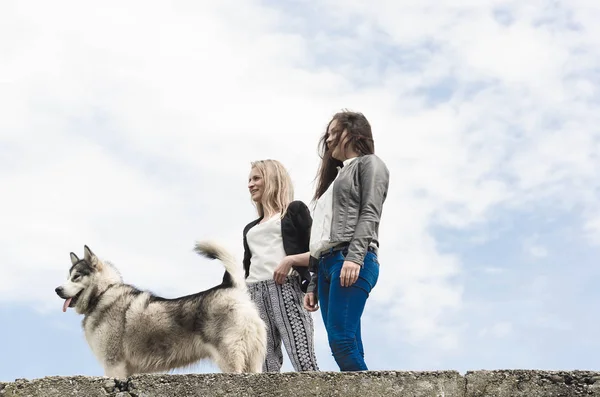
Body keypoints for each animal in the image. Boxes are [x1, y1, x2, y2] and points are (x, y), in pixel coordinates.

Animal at [54, 241, 264, 378]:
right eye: (68, 277)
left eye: (76, 277)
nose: (57, 289)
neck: (103, 293)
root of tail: (231, 287)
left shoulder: (113, 365)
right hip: (254, 361)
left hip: (230, 358)